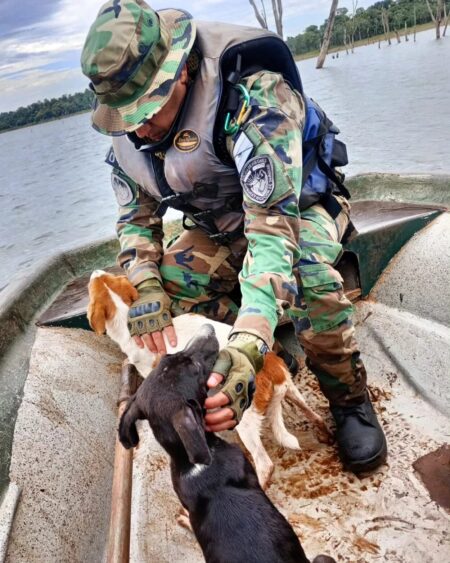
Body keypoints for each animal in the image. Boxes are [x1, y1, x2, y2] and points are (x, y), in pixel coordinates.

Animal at [88, 270, 328, 486]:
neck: (126, 316)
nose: (95, 271)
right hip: (292, 391)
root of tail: (270, 367)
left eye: (91, 287)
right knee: (316, 416)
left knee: (264, 464)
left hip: (244, 420)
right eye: (109, 278)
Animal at [119, 326, 334, 563]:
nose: (208, 329)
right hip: (277, 402)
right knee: (308, 423)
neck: (192, 461)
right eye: (194, 367)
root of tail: (272, 371)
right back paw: (325, 436)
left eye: (172, 357)